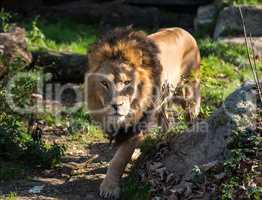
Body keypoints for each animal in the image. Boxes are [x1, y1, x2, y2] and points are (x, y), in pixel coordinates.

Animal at [86, 26, 201, 198]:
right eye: (104, 83)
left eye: (127, 82)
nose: (116, 105)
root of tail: (185, 31)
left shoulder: (140, 124)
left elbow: (119, 158)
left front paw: (109, 187)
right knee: (167, 121)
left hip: (188, 91)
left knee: (191, 116)